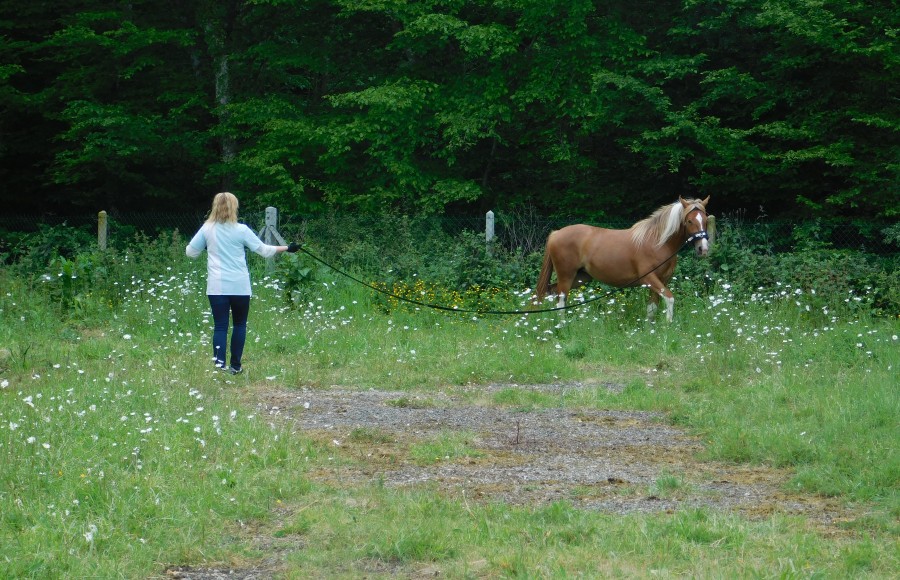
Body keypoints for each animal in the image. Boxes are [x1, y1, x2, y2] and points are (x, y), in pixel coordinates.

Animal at [536, 196, 712, 322]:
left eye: (705, 219)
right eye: (689, 220)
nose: (703, 249)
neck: (657, 243)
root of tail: (556, 233)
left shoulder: (662, 281)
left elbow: (652, 308)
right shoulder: (650, 279)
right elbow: (670, 299)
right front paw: (668, 326)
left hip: (580, 277)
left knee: (552, 292)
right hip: (566, 275)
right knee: (561, 299)